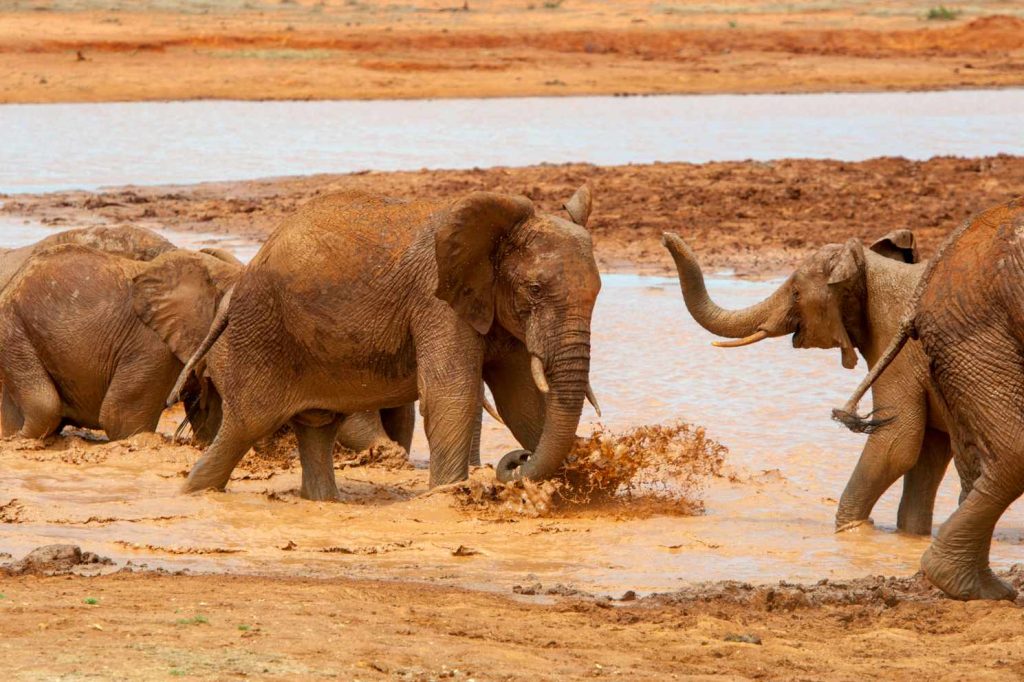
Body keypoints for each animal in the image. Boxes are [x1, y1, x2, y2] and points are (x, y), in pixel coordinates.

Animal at [172, 185, 602, 500]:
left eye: (597, 292)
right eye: (534, 289)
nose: (516, 459)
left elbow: (523, 402)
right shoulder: (435, 300)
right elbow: (452, 394)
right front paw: (447, 496)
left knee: (317, 427)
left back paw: (323, 502)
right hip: (260, 334)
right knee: (245, 427)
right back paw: (192, 492)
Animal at [661, 229, 954, 535]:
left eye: (796, 294)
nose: (666, 237)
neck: (867, 265)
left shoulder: (896, 344)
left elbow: (896, 443)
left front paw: (852, 531)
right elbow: (929, 456)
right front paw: (906, 538)